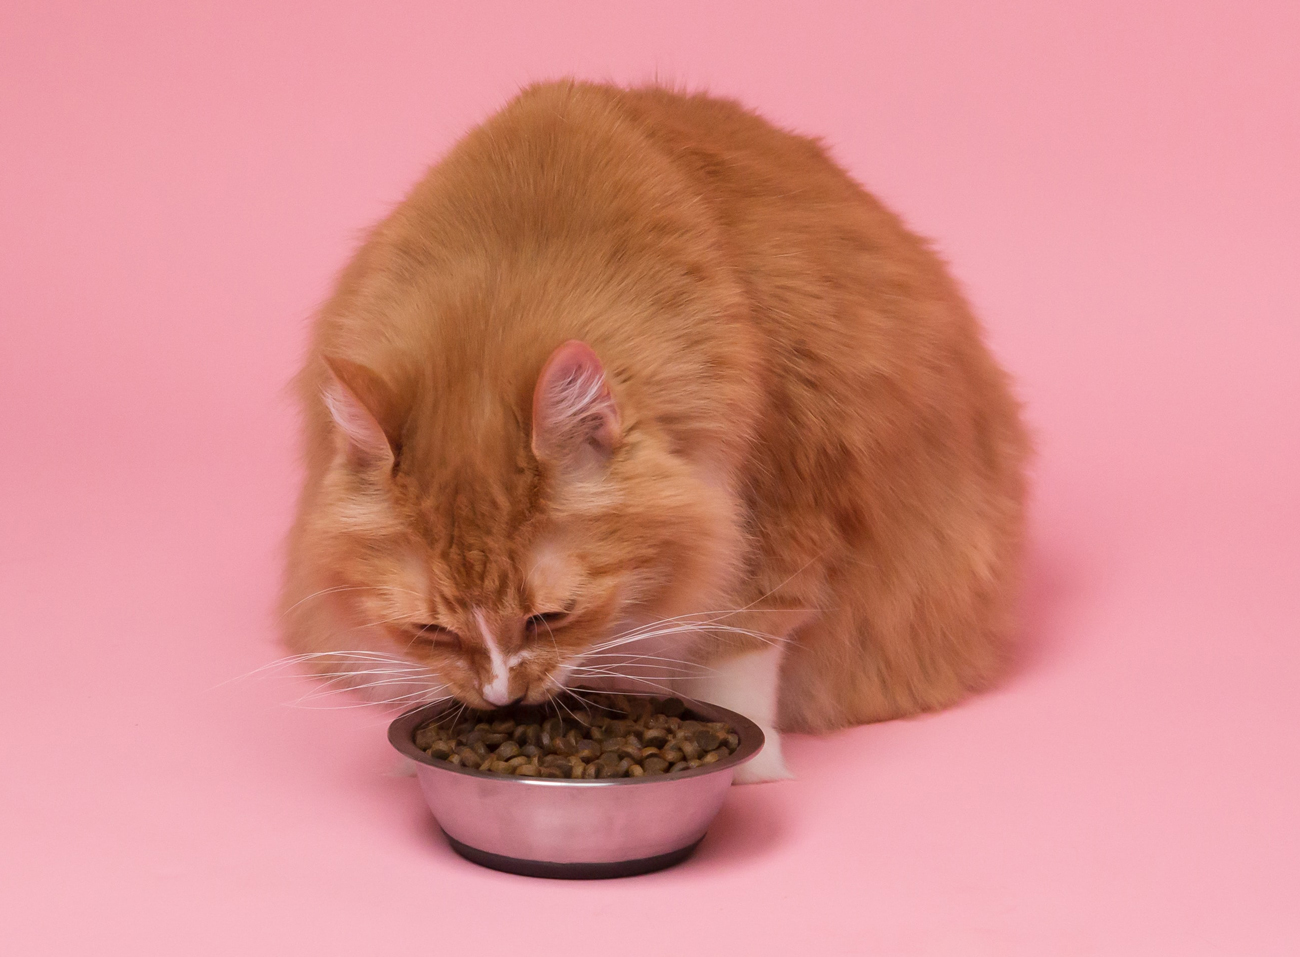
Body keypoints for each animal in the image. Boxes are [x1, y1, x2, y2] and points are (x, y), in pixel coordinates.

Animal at [282, 80, 1024, 785]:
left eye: (551, 617)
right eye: (433, 628)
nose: (502, 696)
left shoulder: (779, 513)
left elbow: (738, 653)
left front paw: (751, 770)